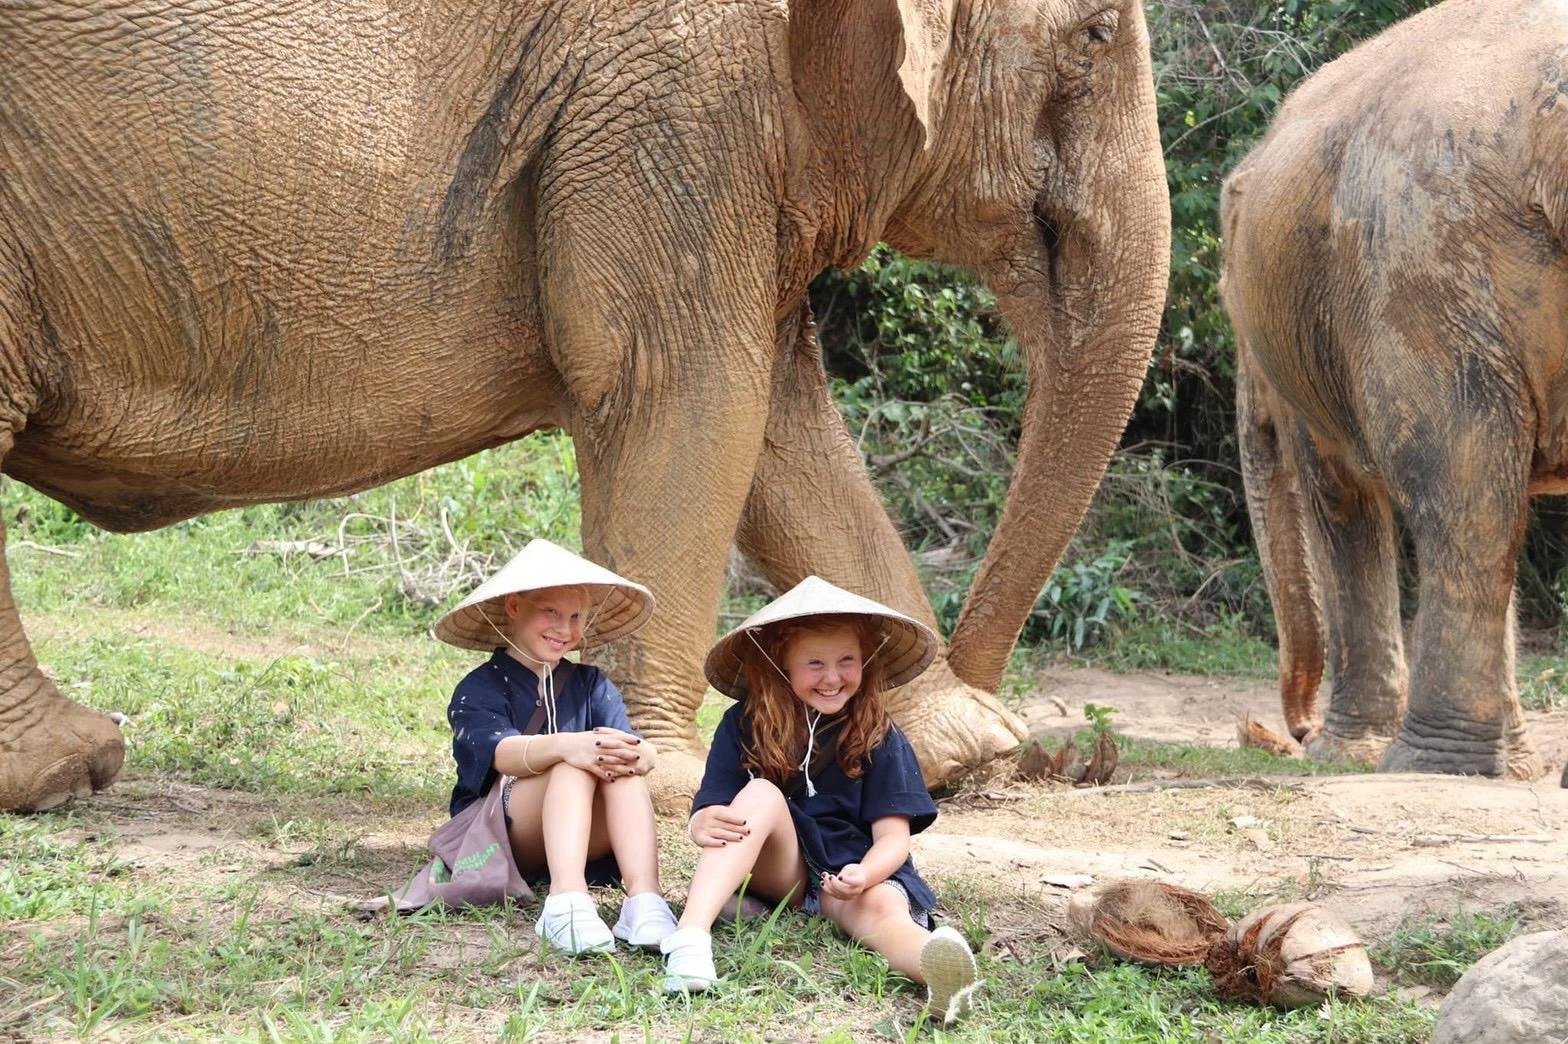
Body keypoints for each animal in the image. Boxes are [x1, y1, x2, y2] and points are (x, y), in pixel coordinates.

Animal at [0, 0, 1170, 812]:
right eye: (1094, 35)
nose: (1039, 748)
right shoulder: (670, 110)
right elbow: (683, 391)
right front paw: (656, 780)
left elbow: (780, 436)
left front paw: (950, 745)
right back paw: (72, 769)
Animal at [1222, 0, 1567, 777]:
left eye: (1225, 301)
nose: (1291, 733)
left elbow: (1374, 488)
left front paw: (1368, 758)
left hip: (1408, 251)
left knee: (1445, 485)